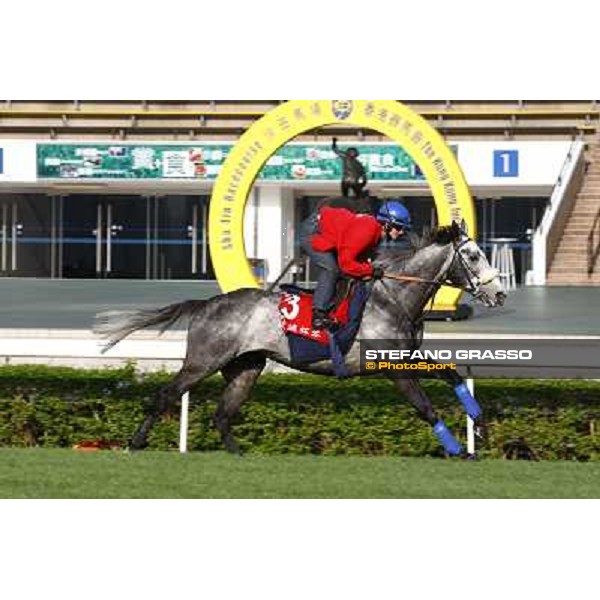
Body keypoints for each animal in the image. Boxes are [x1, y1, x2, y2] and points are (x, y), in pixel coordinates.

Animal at [96, 224, 504, 454]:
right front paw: (457, 449)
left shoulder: (407, 357)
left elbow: (452, 374)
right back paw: (134, 444)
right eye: (472, 255)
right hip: (203, 361)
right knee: (166, 395)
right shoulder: (393, 368)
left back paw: (239, 455)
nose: (498, 293)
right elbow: (425, 408)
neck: (393, 298)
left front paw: (480, 425)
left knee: (222, 415)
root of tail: (207, 303)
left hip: (246, 368)